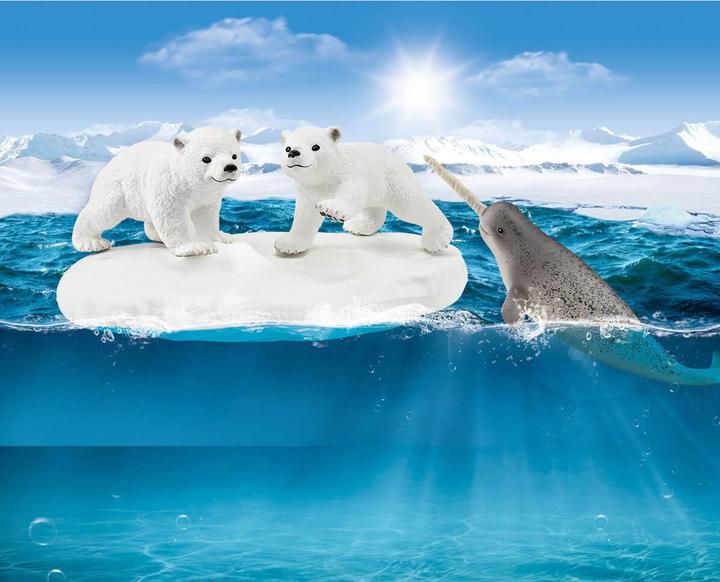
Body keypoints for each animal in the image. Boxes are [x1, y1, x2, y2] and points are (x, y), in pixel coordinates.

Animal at [72, 126, 241, 257]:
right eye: (206, 159)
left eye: (234, 155)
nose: (230, 167)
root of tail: (109, 163)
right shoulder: (169, 186)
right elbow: (172, 217)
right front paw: (195, 247)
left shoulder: (207, 197)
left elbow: (205, 217)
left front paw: (222, 237)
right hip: (118, 187)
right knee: (103, 211)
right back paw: (90, 242)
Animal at [274, 125, 453, 256]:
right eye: (287, 148)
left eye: (315, 146)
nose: (293, 152)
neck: (325, 178)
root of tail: (398, 158)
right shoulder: (309, 189)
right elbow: (305, 217)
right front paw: (288, 243)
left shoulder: (348, 172)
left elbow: (353, 192)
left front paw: (331, 210)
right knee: (374, 208)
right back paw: (358, 226)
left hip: (392, 178)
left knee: (411, 205)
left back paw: (437, 237)